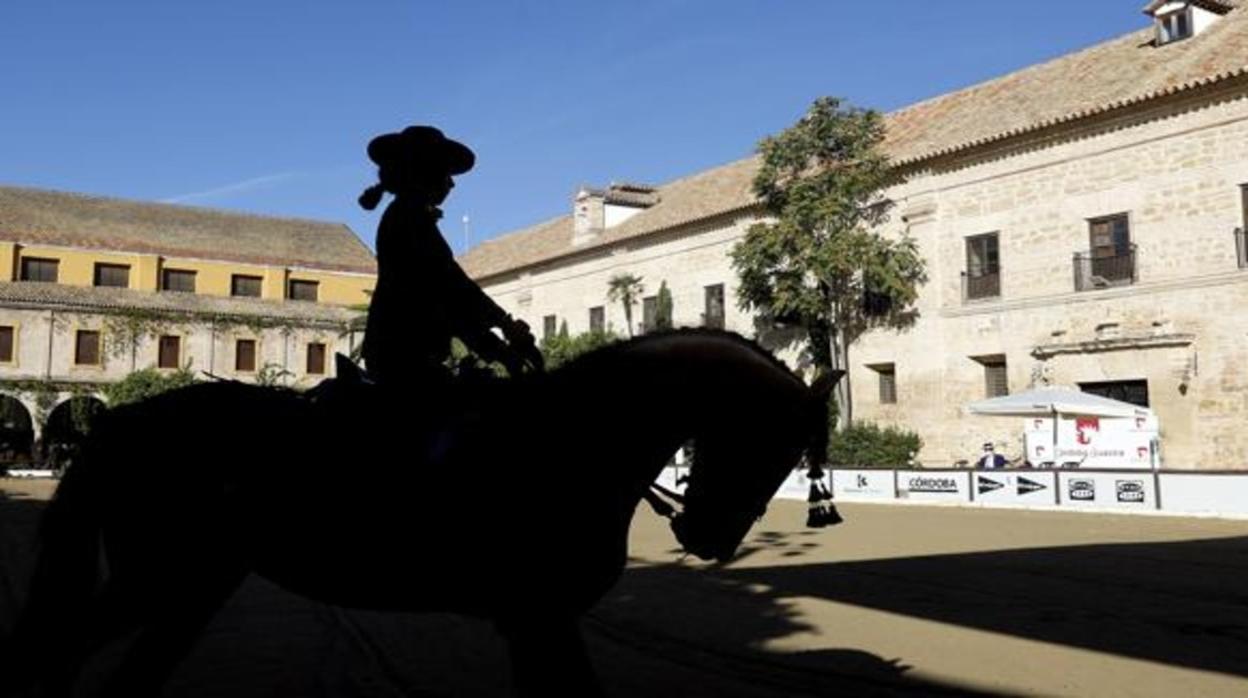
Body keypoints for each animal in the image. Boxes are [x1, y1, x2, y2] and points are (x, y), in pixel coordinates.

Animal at [7, 329, 828, 698]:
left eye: (796, 456)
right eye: (775, 444)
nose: (709, 535)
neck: (571, 439)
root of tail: (125, 421)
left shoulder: (533, 622)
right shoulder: (541, 614)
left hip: (194, 587)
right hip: (161, 580)